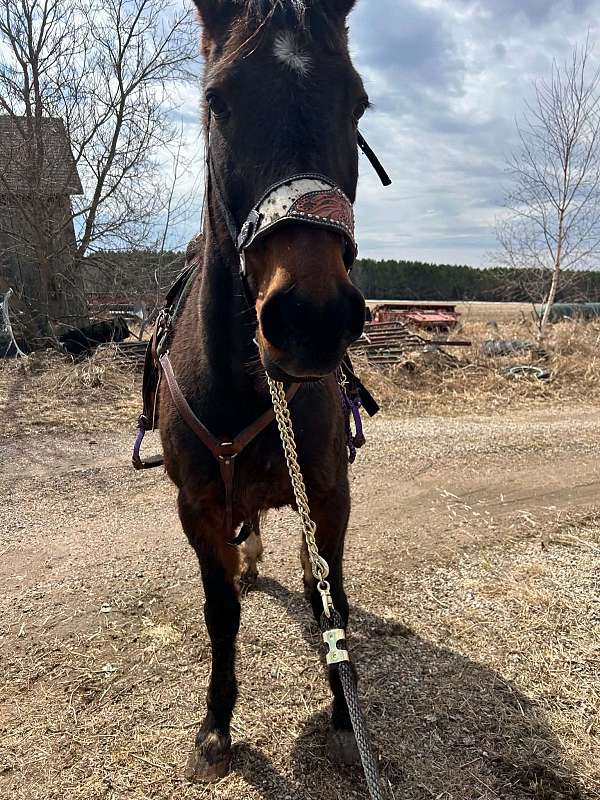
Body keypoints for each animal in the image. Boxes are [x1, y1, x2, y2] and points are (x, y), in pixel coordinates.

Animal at [159, 0, 377, 781]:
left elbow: (330, 601)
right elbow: (220, 611)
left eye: (357, 101)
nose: (310, 317)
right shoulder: (195, 507)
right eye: (218, 101)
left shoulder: (329, 492)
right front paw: (216, 724)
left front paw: (344, 715)